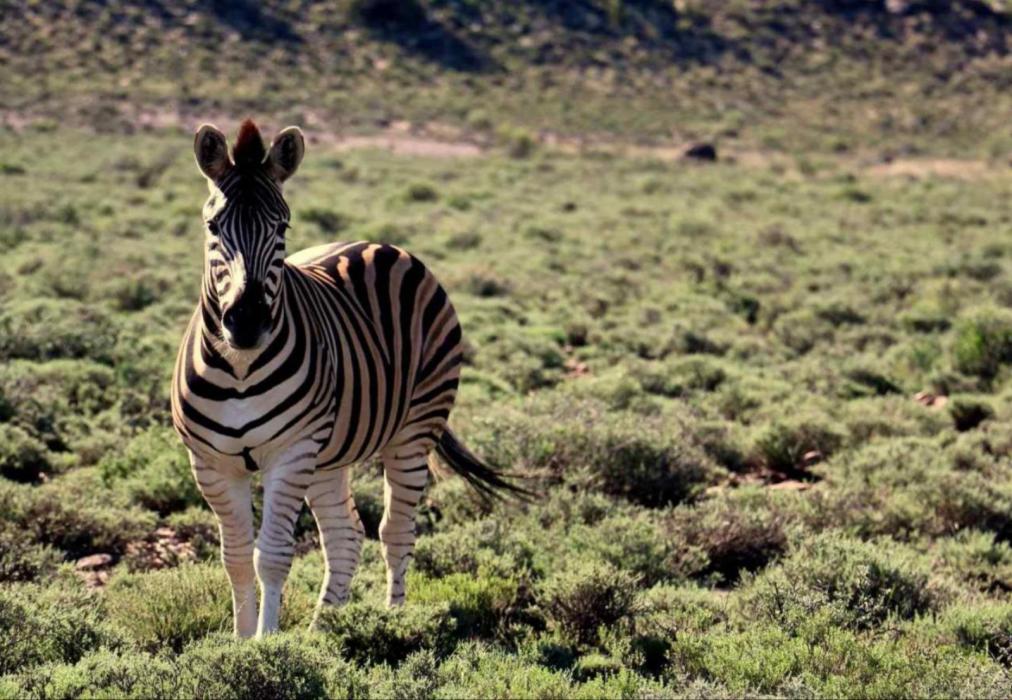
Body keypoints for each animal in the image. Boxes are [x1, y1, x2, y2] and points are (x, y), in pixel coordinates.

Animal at [171, 119, 520, 638]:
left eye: (282, 226)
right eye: (213, 226)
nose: (247, 322)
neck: (239, 368)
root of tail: (379, 244)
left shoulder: (290, 453)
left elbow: (271, 556)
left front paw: (267, 644)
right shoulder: (211, 464)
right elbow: (234, 558)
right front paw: (238, 642)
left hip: (413, 430)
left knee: (395, 532)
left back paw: (392, 623)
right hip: (328, 456)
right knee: (346, 536)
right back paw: (323, 631)